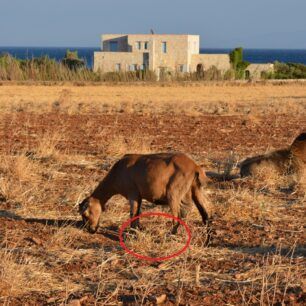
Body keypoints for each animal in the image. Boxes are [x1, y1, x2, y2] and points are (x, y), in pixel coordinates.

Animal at [79, 153, 213, 234]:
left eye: (85, 214)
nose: (90, 229)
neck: (117, 173)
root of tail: (195, 167)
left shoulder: (132, 194)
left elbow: (133, 213)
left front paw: (132, 231)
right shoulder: (138, 196)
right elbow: (138, 212)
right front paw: (138, 229)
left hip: (173, 193)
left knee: (178, 215)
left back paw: (172, 233)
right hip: (195, 189)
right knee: (204, 214)